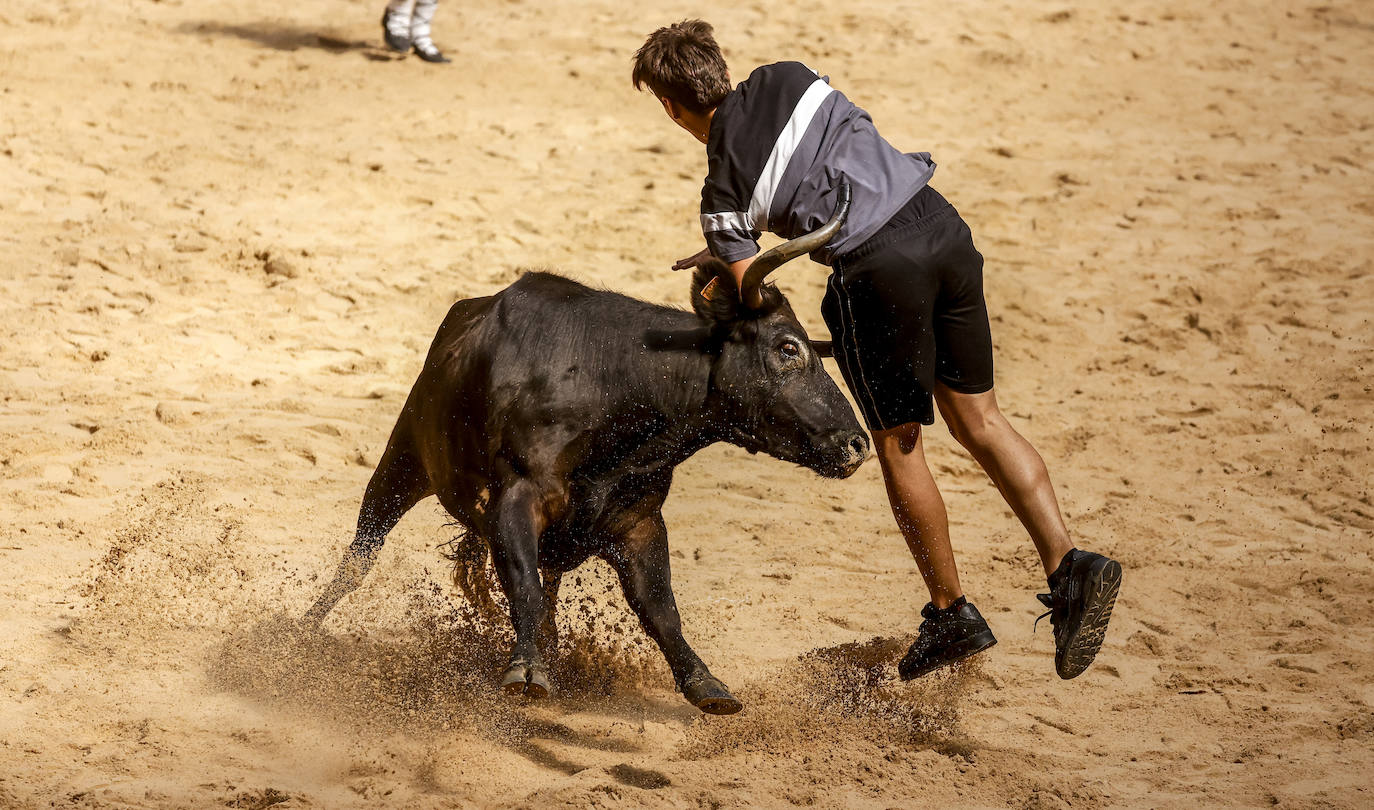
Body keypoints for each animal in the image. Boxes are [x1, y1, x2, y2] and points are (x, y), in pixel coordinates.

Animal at [310, 189, 868, 713]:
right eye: (788, 347)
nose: (857, 443)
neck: (614, 392)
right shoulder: (515, 497)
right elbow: (525, 586)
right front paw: (526, 670)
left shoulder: (639, 521)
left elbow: (660, 608)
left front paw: (706, 683)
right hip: (402, 459)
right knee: (362, 553)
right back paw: (300, 631)